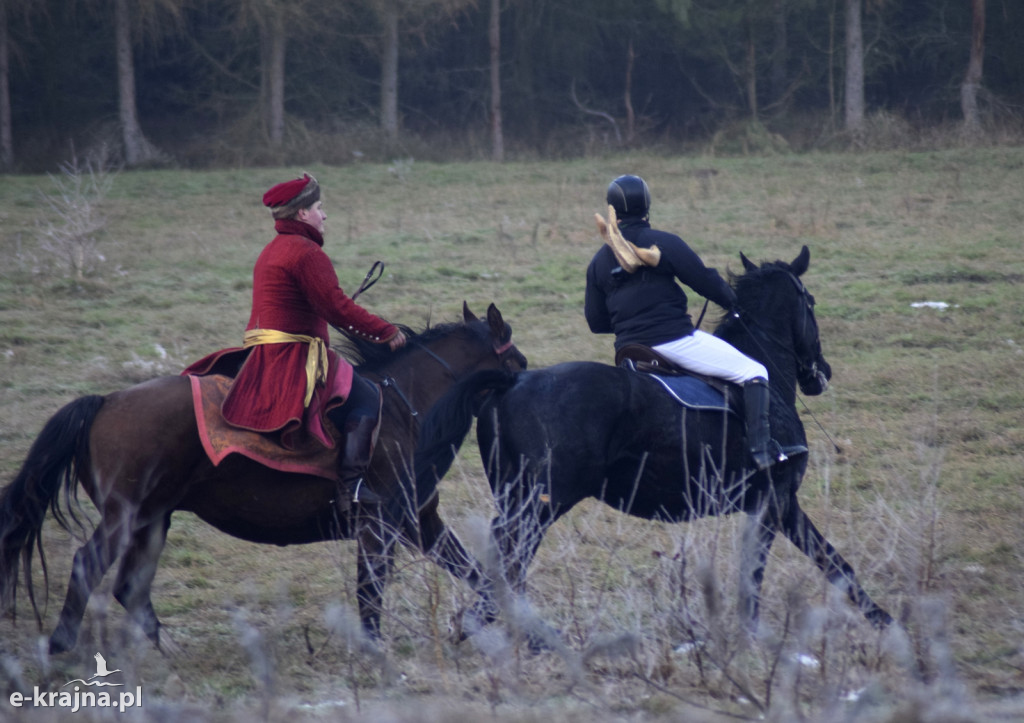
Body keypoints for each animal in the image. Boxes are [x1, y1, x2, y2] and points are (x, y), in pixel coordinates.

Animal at [0, 301, 524, 651]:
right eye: (516, 362)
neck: (404, 405)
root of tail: (105, 401)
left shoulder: (419, 521)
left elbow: (480, 576)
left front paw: (470, 625)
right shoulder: (379, 527)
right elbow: (370, 591)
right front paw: (376, 650)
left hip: (153, 519)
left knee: (130, 586)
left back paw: (165, 649)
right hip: (124, 517)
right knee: (87, 566)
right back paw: (61, 646)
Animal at [415, 247, 897, 630]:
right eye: (809, 302)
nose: (821, 373)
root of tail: (509, 383)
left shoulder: (776, 504)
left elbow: (830, 563)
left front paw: (881, 620)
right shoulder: (775, 500)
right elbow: (764, 572)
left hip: (518, 495)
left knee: (502, 553)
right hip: (540, 500)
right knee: (510, 555)